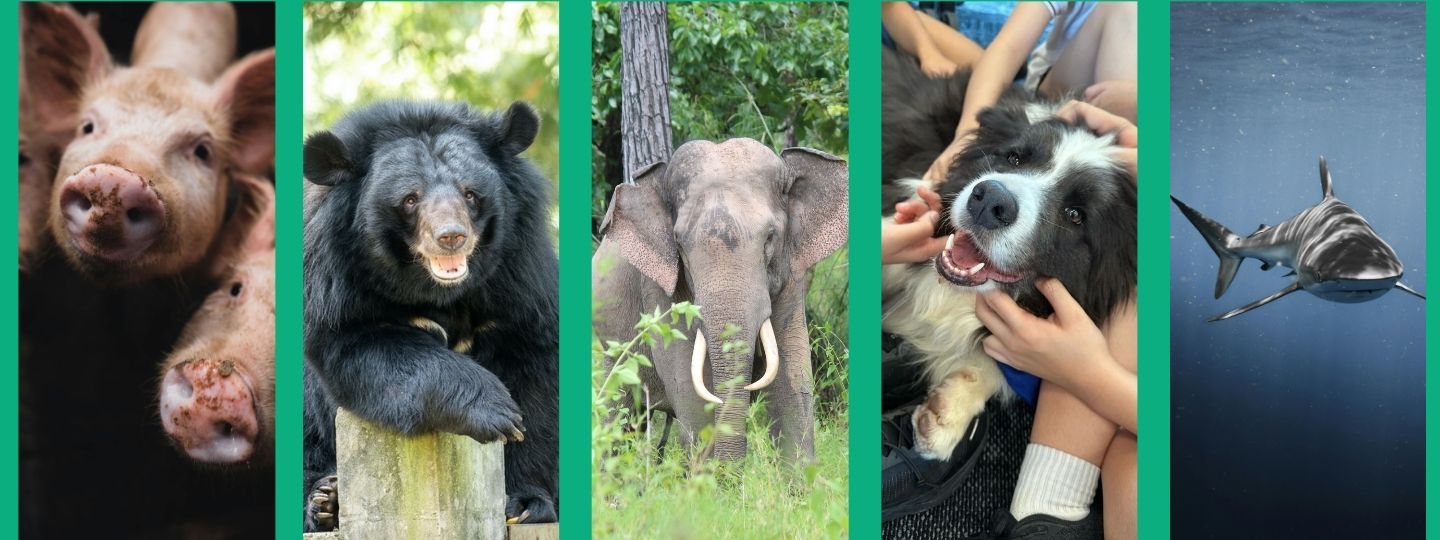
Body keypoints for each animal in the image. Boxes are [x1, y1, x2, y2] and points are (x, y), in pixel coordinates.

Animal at [300, 100, 559, 532]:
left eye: (470, 193)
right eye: (410, 199)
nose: (451, 236)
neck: (436, 290)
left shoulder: (519, 280)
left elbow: (536, 382)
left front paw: (525, 502)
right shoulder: (334, 285)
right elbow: (364, 346)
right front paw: (495, 411)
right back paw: (324, 502)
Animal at [592, 138, 848, 462]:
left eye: (770, 237)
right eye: (679, 245)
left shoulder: (792, 277)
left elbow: (793, 384)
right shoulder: (657, 288)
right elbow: (690, 386)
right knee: (616, 415)